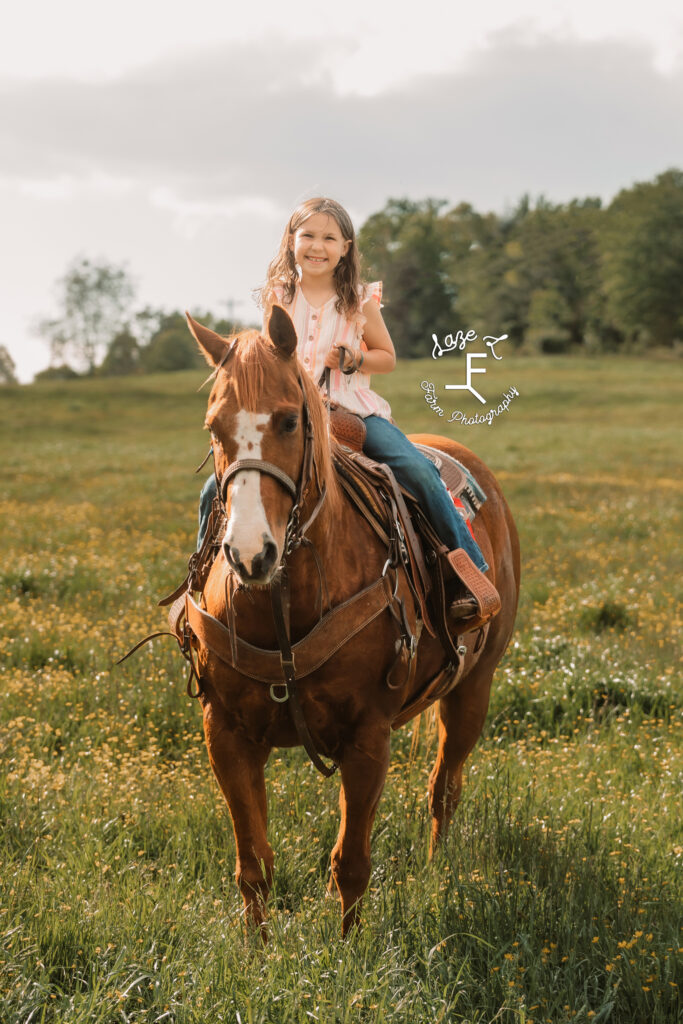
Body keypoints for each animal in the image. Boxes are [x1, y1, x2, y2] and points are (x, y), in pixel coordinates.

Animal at [184, 305, 520, 937]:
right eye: (215, 427)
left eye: (290, 421)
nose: (250, 554)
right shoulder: (227, 733)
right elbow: (254, 862)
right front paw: (255, 950)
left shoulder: (368, 737)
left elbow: (352, 863)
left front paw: (347, 953)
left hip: (475, 687)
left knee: (444, 788)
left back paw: (438, 870)